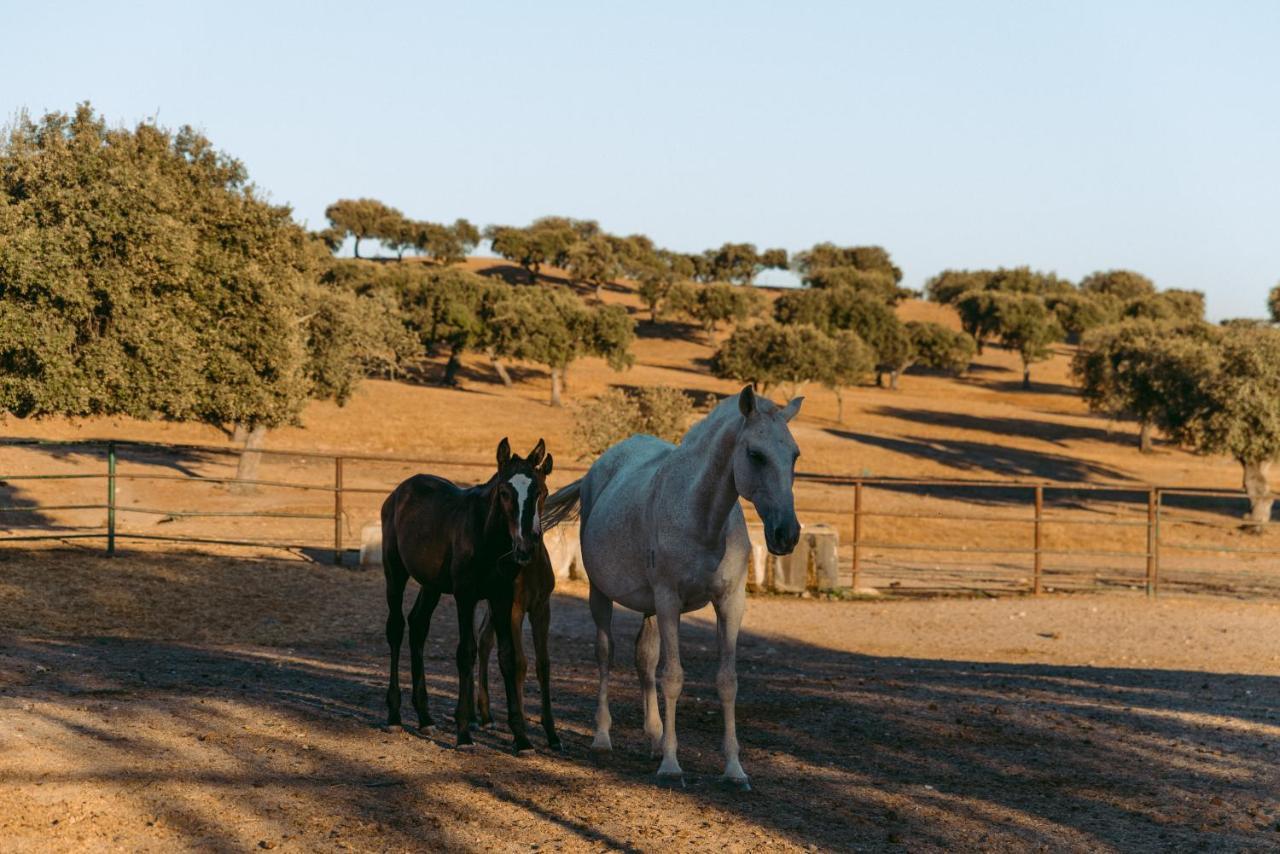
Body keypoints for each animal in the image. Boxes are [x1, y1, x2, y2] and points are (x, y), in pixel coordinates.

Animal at [476, 545, 560, 752]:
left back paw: (486, 716)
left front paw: (552, 735)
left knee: (484, 639)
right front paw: (520, 733)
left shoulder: (541, 607)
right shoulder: (515, 609)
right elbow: (519, 663)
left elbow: (543, 664)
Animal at [542, 386, 798, 788]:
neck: (701, 517)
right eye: (755, 454)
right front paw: (672, 765)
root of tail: (598, 470)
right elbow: (673, 677)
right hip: (602, 595)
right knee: (606, 655)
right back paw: (603, 738)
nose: (787, 534)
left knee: (644, 660)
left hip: (649, 609)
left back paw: (654, 738)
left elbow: (726, 681)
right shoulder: (668, 600)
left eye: (794, 456)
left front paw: (734, 769)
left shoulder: (730, 602)